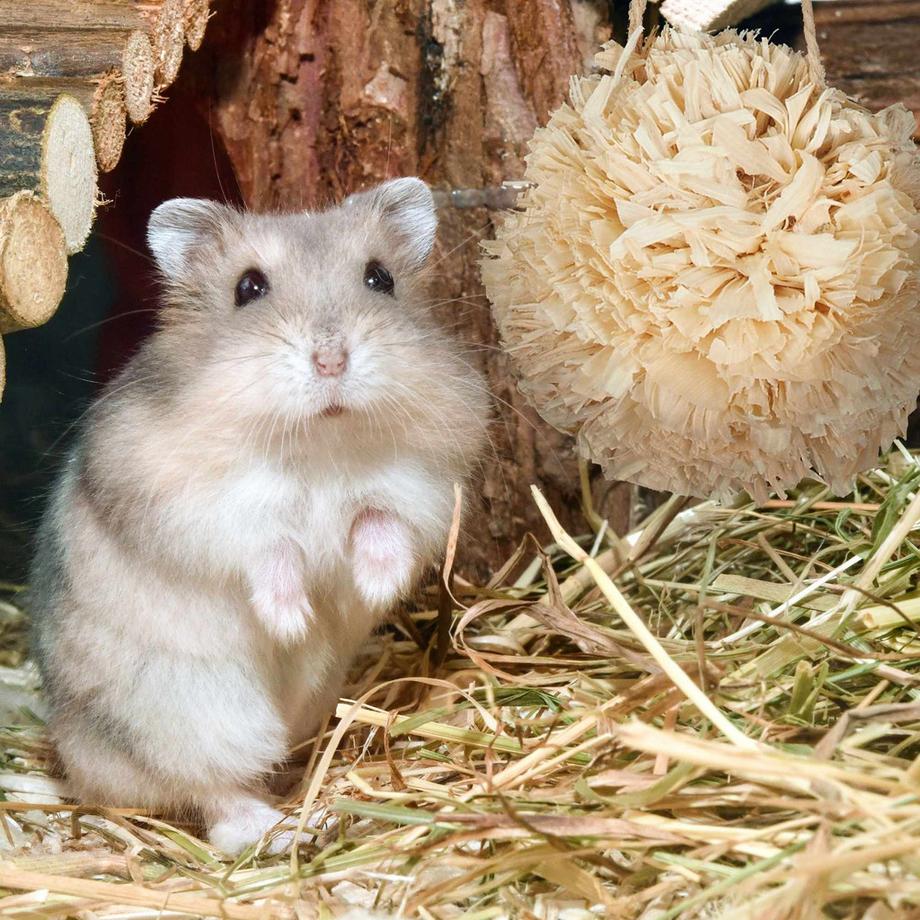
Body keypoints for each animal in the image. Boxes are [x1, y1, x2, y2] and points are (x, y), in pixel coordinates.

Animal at [28, 178, 489, 855]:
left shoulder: (419, 486)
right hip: (193, 715)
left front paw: (372, 588)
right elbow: (271, 549)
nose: (331, 360)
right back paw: (281, 828)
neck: (318, 444)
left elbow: (380, 523)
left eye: (380, 278)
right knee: (214, 796)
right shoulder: (204, 507)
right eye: (248, 288)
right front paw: (294, 621)